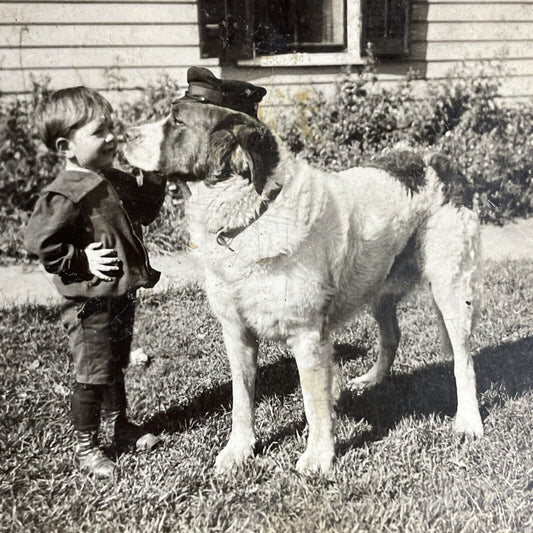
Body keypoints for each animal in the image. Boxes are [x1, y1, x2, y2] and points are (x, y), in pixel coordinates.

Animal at [123, 98, 482, 470]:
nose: (123, 134)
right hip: (378, 285)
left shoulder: (308, 336)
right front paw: (238, 450)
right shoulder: (237, 334)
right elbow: (241, 400)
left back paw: (468, 422)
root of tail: (439, 158)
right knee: (392, 336)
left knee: (463, 360)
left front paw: (318, 458)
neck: (256, 215)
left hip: (451, 288)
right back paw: (372, 380)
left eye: (178, 121)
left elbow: (314, 403)